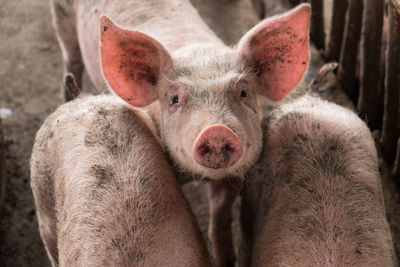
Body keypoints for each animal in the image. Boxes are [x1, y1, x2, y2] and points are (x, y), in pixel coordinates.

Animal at [51, 1, 310, 266]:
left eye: (244, 92)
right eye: (175, 98)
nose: (216, 131)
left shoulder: (236, 175)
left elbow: (221, 214)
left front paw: (226, 258)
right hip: (62, 20)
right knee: (71, 59)